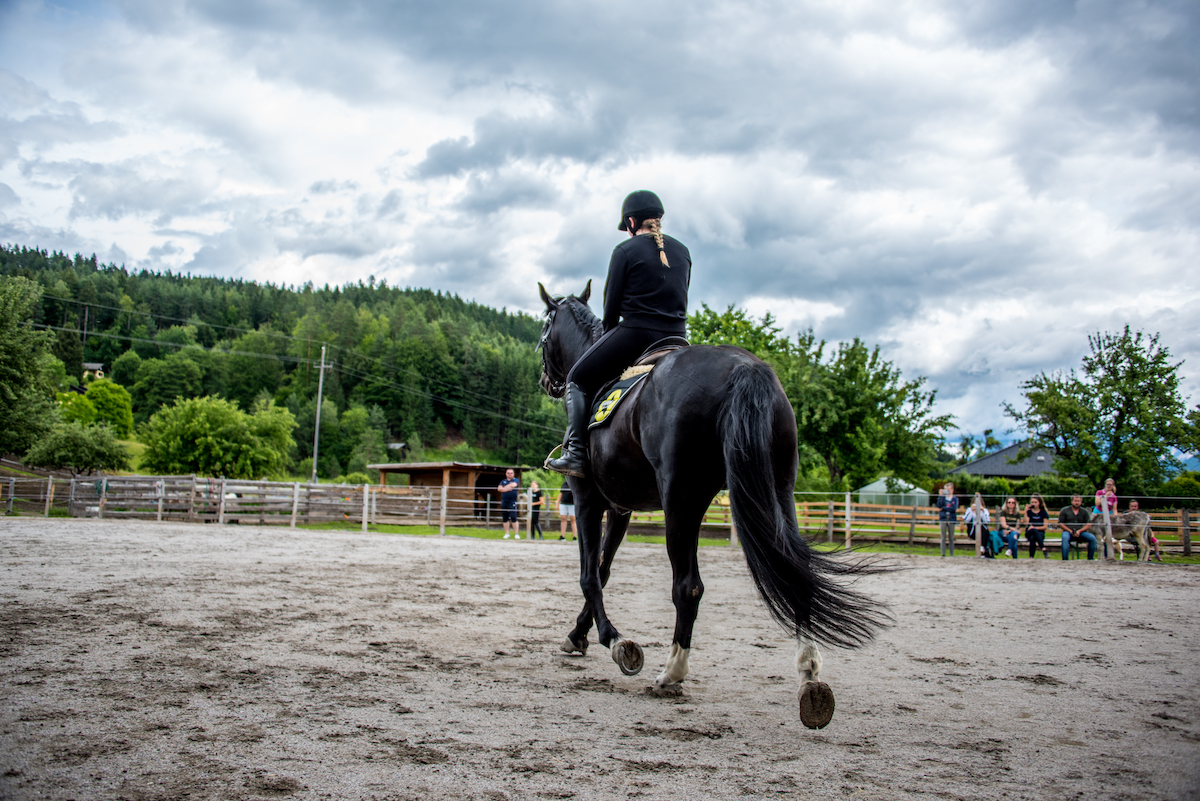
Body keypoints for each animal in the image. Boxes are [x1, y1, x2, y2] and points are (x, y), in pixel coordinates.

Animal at [540, 281, 888, 724]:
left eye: (544, 333)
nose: (546, 380)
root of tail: (744, 367)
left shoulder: (588, 501)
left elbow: (589, 575)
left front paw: (616, 642)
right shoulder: (621, 509)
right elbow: (603, 571)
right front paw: (578, 636)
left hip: (682, 500)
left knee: (688, 586)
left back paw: (672, 673)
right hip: (778, 493)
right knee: (795, 572)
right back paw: (810, 677)